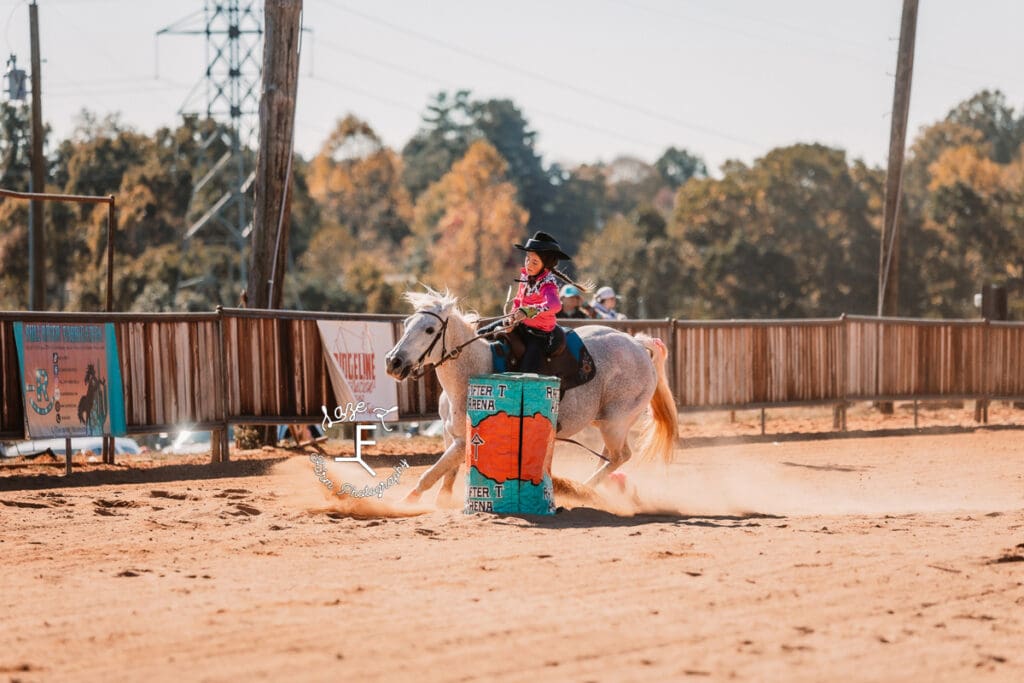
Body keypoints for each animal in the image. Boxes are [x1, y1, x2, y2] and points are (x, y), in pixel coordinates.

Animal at [385, 286, 679, 505]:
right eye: (407, 323)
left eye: (429, 330)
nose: (393, 362)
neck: (471, 370)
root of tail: (639, 345)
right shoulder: (451, 436)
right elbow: (445, 477)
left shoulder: (463, 440)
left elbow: (430, 474)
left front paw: (404, 503)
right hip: (606, 422)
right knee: (610, 457)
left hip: (616, 421)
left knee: (621, 456)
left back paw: (581, 490)